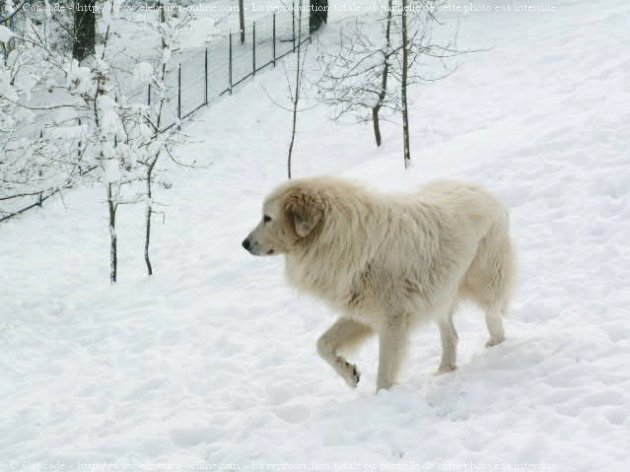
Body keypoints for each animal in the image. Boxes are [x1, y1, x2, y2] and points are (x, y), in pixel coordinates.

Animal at [243, 177, 520, 390]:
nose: (244, 244)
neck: (339, 239)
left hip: (483, 279)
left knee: (493, 313)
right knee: (451, 334)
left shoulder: (392, 321)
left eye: (267, 218)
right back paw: (445, 369)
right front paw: (349, 373)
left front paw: (382, 397)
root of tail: (481, 189)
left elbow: (385, 371)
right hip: (439, 294)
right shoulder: (361, 313)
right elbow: (322, 344)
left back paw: (496, 345)